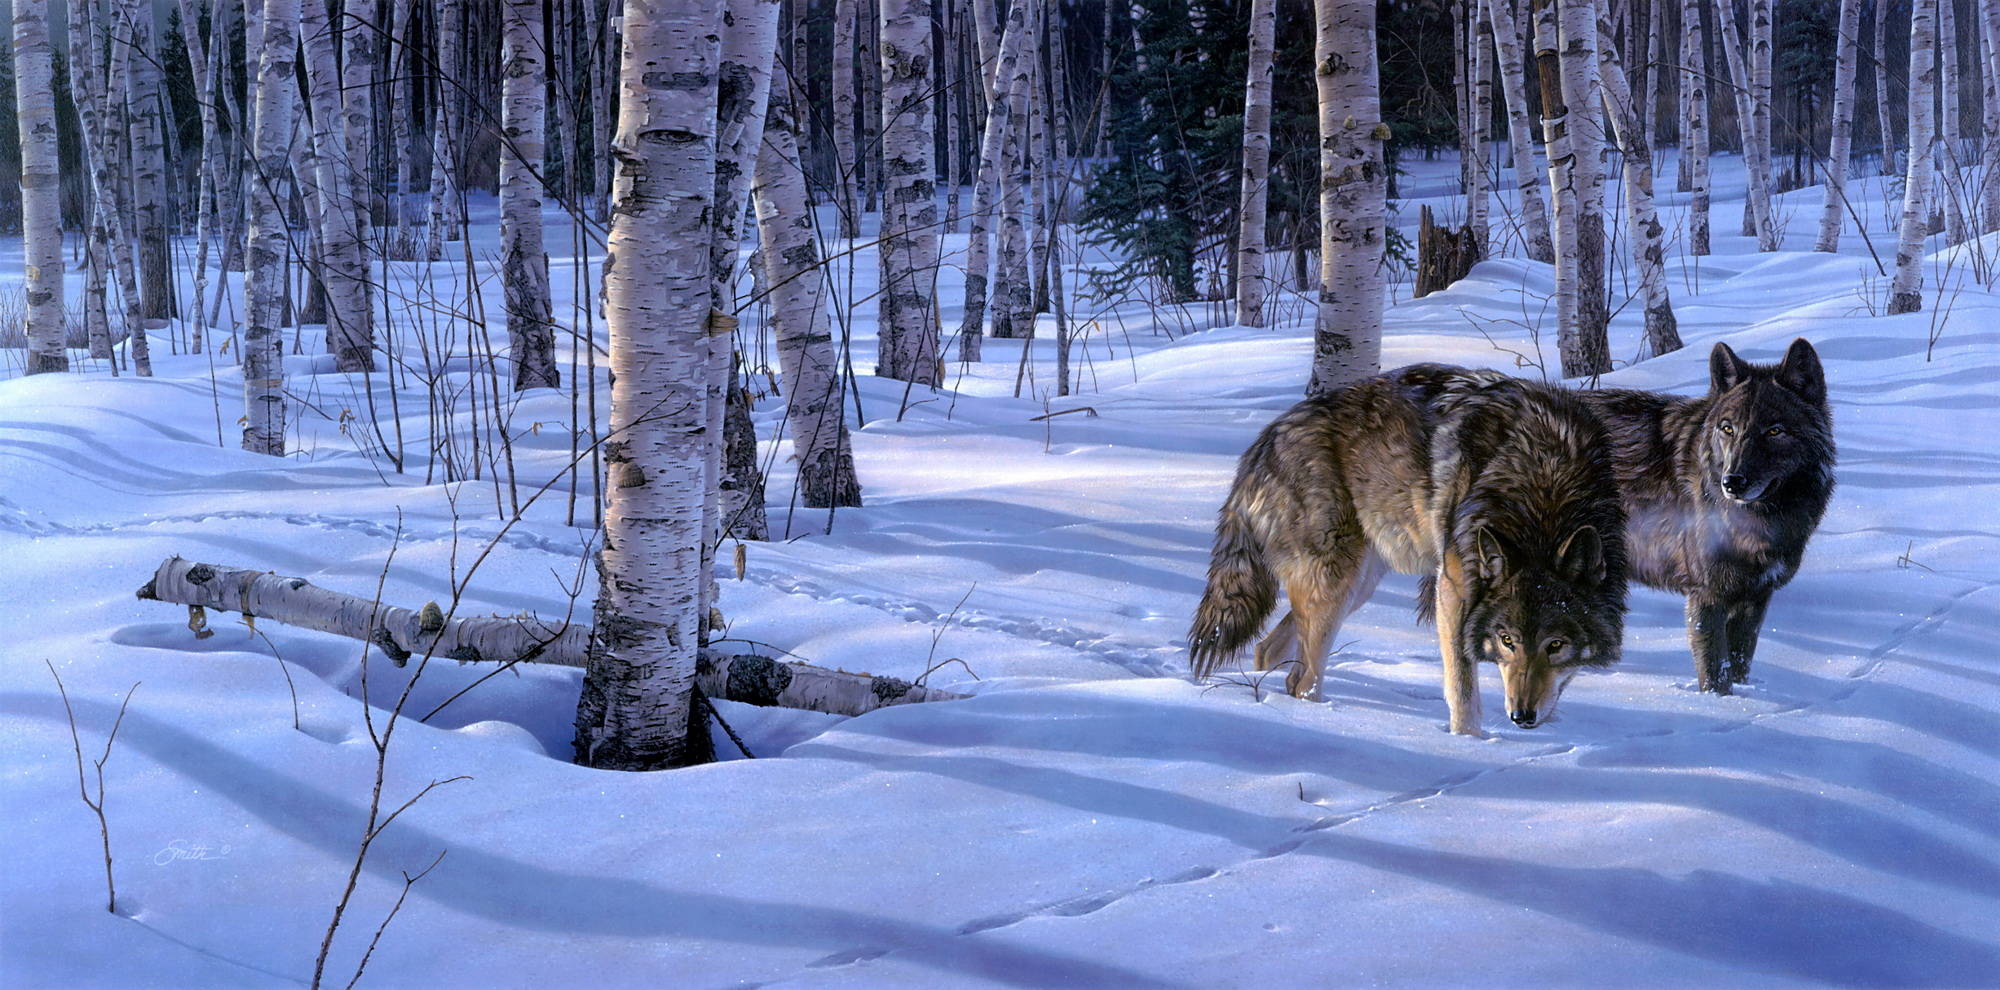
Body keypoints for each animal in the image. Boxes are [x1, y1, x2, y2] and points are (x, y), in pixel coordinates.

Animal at [1184, 366, 1624, 736]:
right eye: (1507, 640)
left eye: (1556, 645)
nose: (1522, 717)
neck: (1544, 477)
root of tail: (1263, 440)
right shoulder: (1453, 589)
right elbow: (1462, 689)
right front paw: (1469, 745)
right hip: (1336, 583)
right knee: (1301, 679)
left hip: (1357, 587)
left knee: (1266, 650)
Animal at [1576, 338, 1840, 692]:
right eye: (1728, 428)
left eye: (1774, 431)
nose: (1733, 482)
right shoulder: (1707, 595)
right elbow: (1716, 670)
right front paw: (1716, 702)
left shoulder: (1755, 597)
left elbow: (1740, 661)